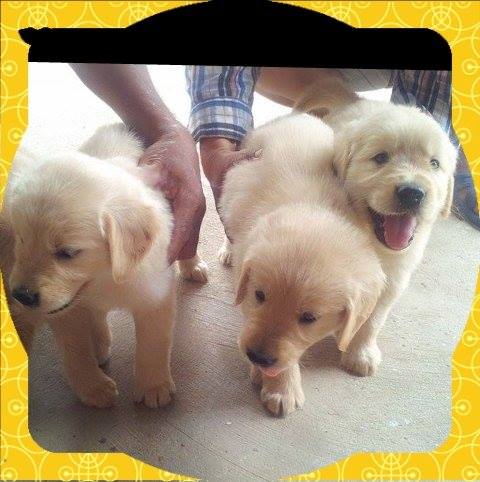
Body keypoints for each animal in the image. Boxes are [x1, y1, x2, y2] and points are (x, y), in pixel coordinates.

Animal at [1, 124, 208, 408]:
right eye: (21, 239)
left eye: (67, 253)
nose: (21, 296)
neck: (106, 277)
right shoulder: (66, 310)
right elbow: (76, 351)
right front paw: (93, 388)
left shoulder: (154, 295)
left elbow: (153, 343)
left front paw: (153, 386)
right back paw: (100, 344)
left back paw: (193, 266)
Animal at [219, 114, 385, 416]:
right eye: (259, 295)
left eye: (309, 318)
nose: (257, 356)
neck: (309, 206)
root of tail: (299, 116)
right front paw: (282, 388)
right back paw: (227, 252)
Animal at [296, 78, 458, 376]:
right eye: (381, 158)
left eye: (434, 163)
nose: (412, 193)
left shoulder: (393, 279)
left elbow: (373, 320)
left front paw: (360, 353)